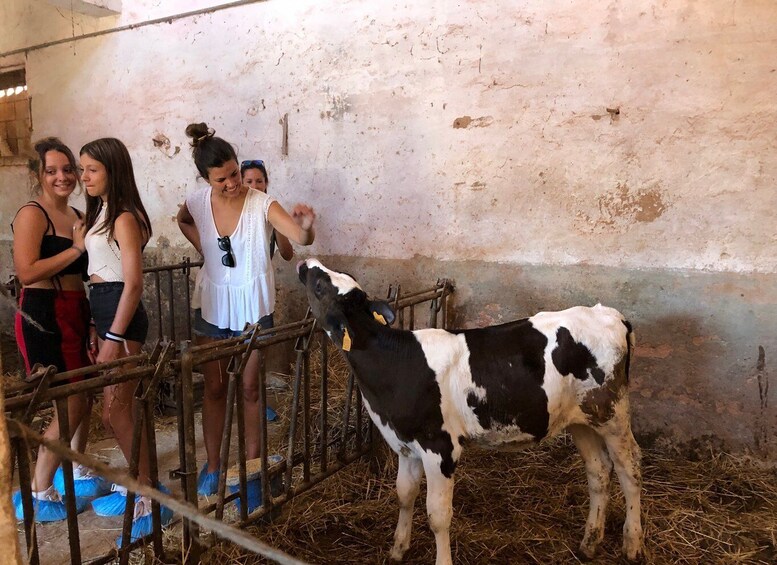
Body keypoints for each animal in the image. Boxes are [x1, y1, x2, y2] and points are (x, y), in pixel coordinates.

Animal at [298, 260, 644, 564]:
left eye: (320, 285)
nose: (305, 262)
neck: (394, 363)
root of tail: (609, 313)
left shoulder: (440, 447)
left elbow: (438, 516)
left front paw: (441, 560)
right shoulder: (405, 445)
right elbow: (404, 494)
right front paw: (398, 549)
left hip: (612, 413)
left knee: (629, 468)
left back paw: (632, 544)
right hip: (580, 418)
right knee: (599, 471)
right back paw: (590, 542)